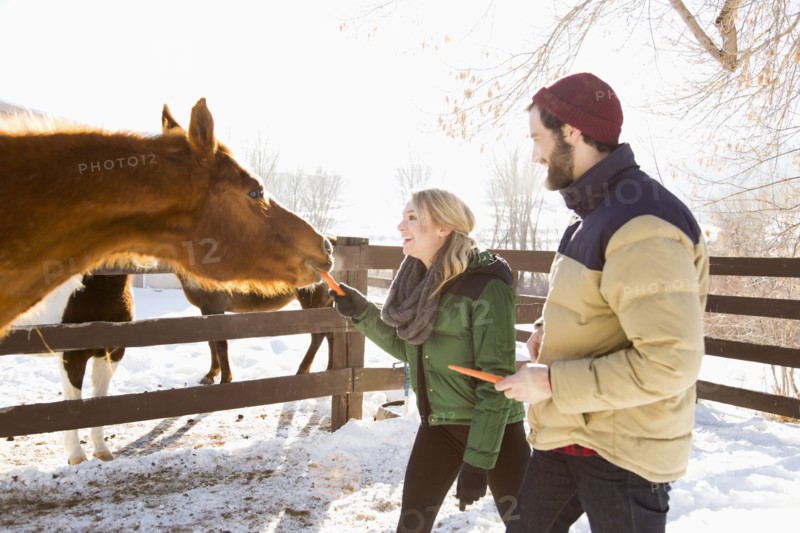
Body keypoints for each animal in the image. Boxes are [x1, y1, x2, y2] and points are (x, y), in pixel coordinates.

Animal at [11, 274, 133, 465]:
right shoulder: (72, 356)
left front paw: (101, 450)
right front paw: (76, 455)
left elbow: (100, 400)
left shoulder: (112, 354)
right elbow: (73, 405)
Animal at [179, 275, 334, 384]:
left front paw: (225, 379)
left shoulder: (214, 307)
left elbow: (220, 344)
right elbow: (211, 343)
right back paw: (331, 368)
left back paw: (302, 370)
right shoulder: (208, 311)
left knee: (318, 336)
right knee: (331, 334)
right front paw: (211, 375)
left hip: (313, 302)